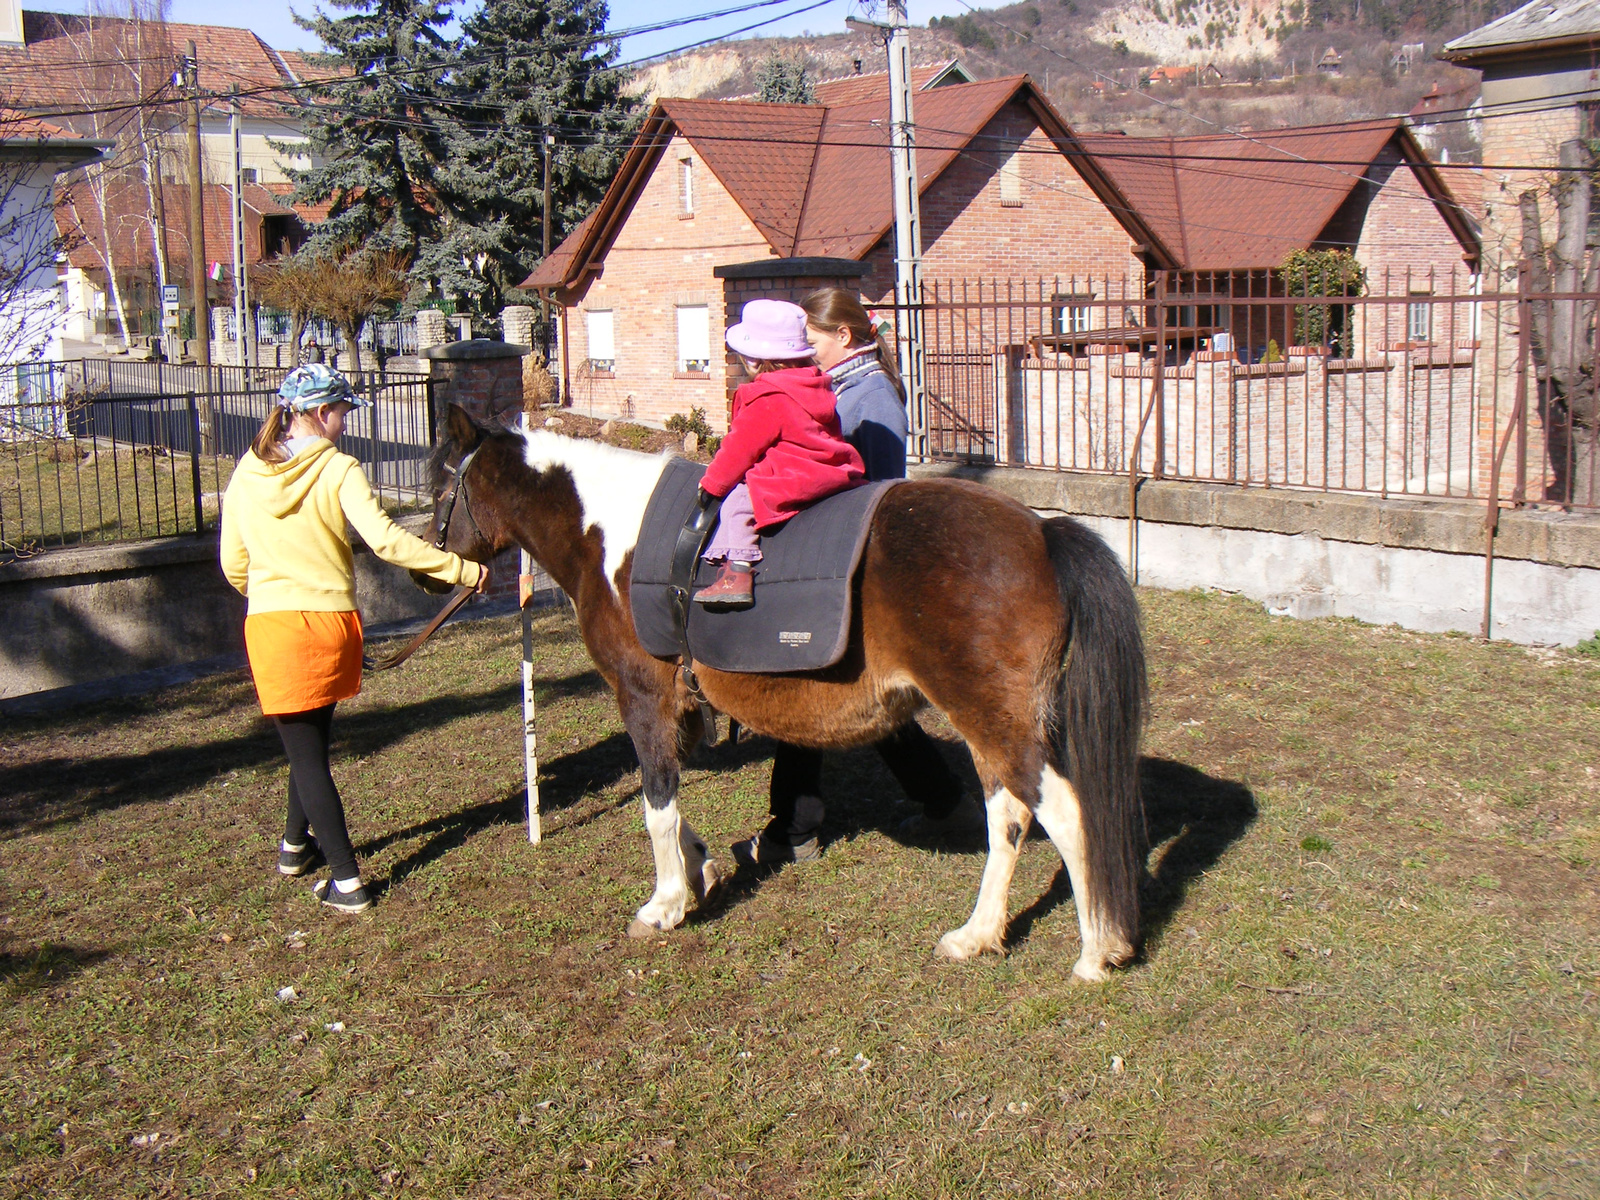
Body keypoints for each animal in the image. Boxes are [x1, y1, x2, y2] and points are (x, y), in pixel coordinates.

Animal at [428, 409, 1152, 979]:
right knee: (1009, 817)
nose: (431, 576)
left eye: (440, 482)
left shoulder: (643, 694)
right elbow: (671, 800)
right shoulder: (679, 706)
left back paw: (1097, 950)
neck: (607, 535)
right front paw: (701, 868)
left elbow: (656, 801)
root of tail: (1040, 533)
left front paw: (665, 903)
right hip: (995, 724)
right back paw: (977, 935)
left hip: (993, 718)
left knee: (1061, 812)